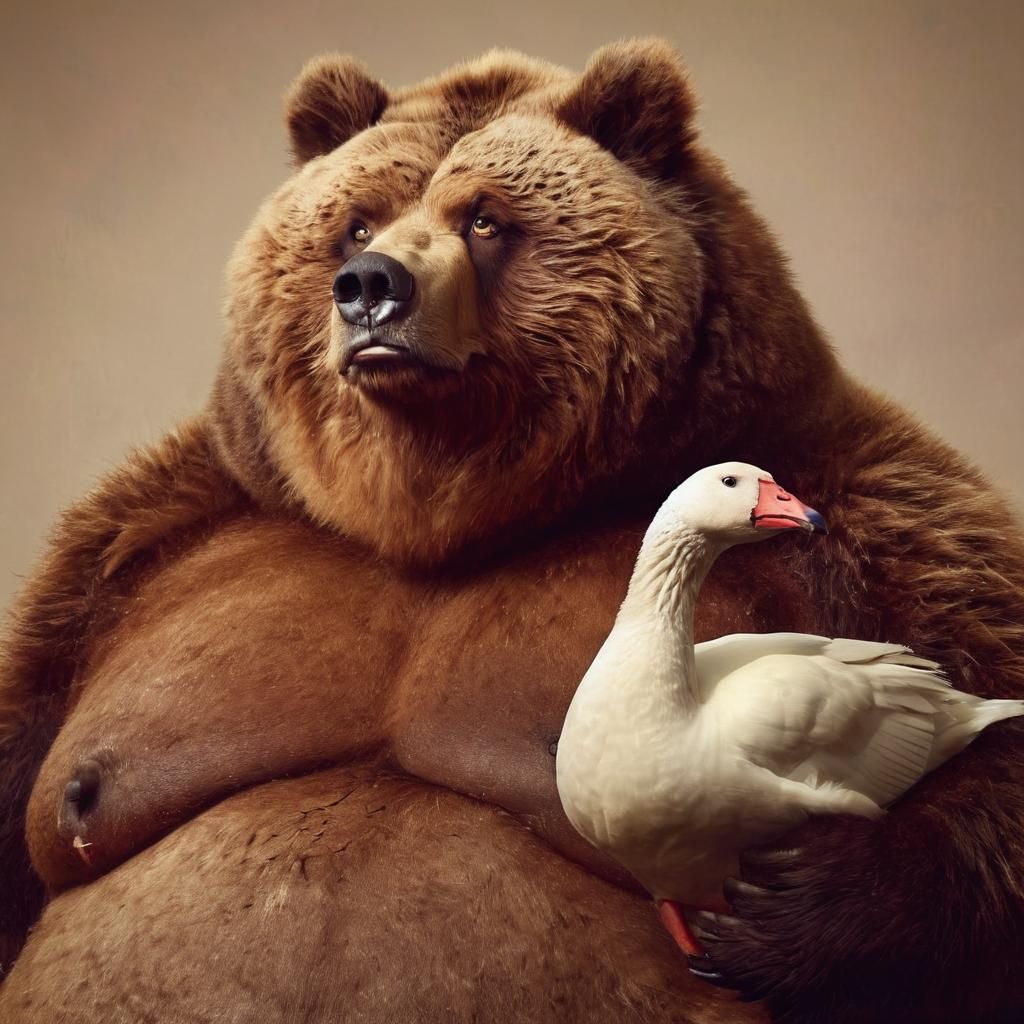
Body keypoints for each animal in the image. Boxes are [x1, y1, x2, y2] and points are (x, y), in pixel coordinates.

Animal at [2, 38, 1024, 1024]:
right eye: (358, 220)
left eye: (486, 218)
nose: (371, 286)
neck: (442, 514)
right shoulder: (142, 545)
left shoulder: (875, 525)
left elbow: (988, 742)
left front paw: (784, 908)